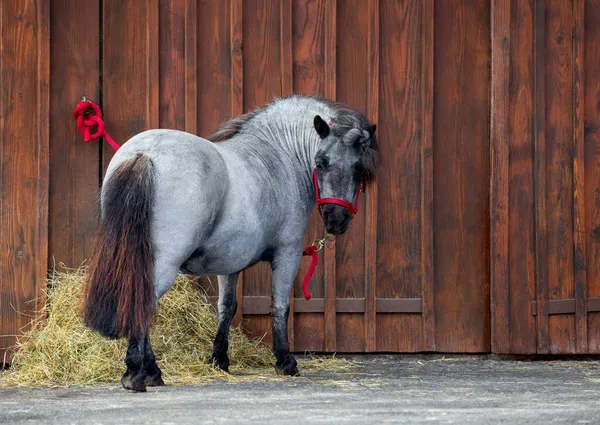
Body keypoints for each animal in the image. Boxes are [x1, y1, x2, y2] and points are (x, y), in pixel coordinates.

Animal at [82, 93, 378, 390]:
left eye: (357, 167)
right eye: (321, 162)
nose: (336, 218)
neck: (278, 155)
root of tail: (145, 153)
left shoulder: (230, 262)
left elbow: (227, 307)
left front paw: (220, 359)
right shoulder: (288, 254)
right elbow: (280, 304)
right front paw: (285, 361)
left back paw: (150, 371)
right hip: (163, 264)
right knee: (143, 302)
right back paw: (139, 372)